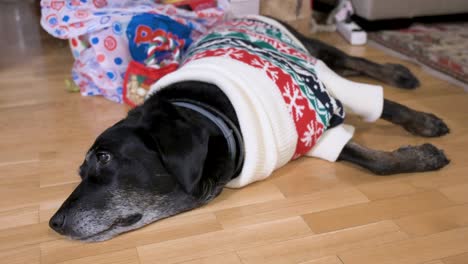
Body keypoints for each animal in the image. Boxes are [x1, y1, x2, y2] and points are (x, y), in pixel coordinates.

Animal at [49, 17, 448, 242]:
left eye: (104, 158)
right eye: (80, 170)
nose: (54, 222)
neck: (213, 114)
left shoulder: (321, 88)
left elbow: (384, 111)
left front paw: (424, 131)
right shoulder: (313, 133)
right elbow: (369, 159)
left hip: (310, 51)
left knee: (352, 61)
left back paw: (400, 73)